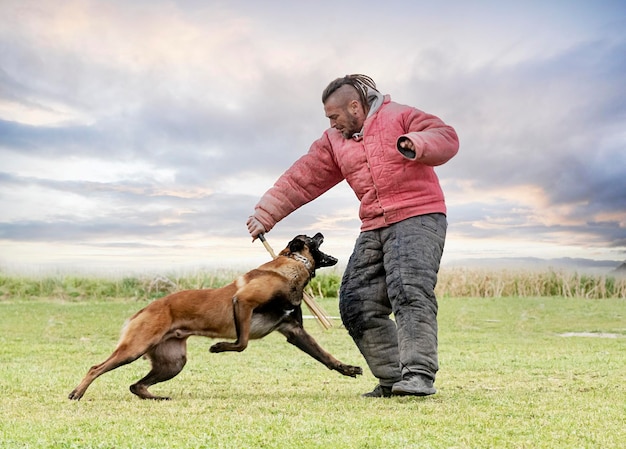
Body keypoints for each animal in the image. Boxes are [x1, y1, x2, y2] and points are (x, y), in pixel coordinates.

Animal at [67, 231, 360, 400]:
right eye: (311, 237)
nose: (321, 231)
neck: (289, 267)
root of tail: (147, 308)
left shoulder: (295, 332)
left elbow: (326, 357)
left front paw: (347, 368)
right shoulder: (242, 302)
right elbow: (242, 343)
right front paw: (218, 347)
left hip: (173, 362)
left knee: (135, 386)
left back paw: (155, 397)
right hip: (134, 349)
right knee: (96, 368)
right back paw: (77, 392)